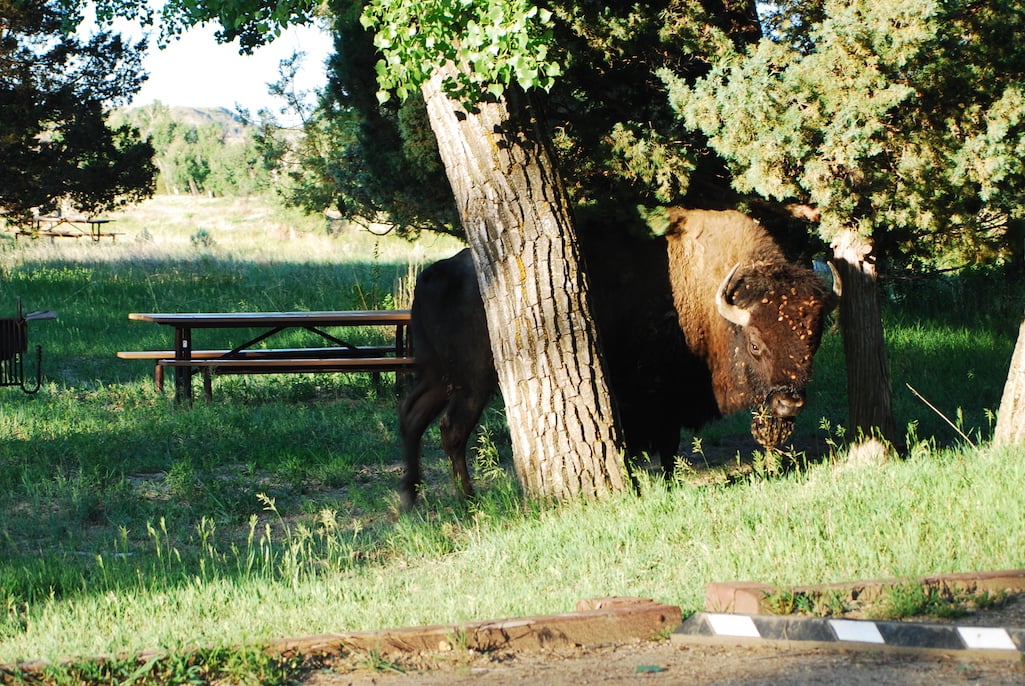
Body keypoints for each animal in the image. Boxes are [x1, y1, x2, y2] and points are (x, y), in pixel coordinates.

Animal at [398, 208, 840, 508]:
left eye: (813, 339)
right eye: (755, 345)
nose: (788, 403)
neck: (708, 298)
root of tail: (435, 274)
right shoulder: (656, 396)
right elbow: (662, 441)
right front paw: (658, 481)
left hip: (438, 377)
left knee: (411, 417)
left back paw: (410, 497)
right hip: (473, 383)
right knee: (451, 430)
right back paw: (466, 498)